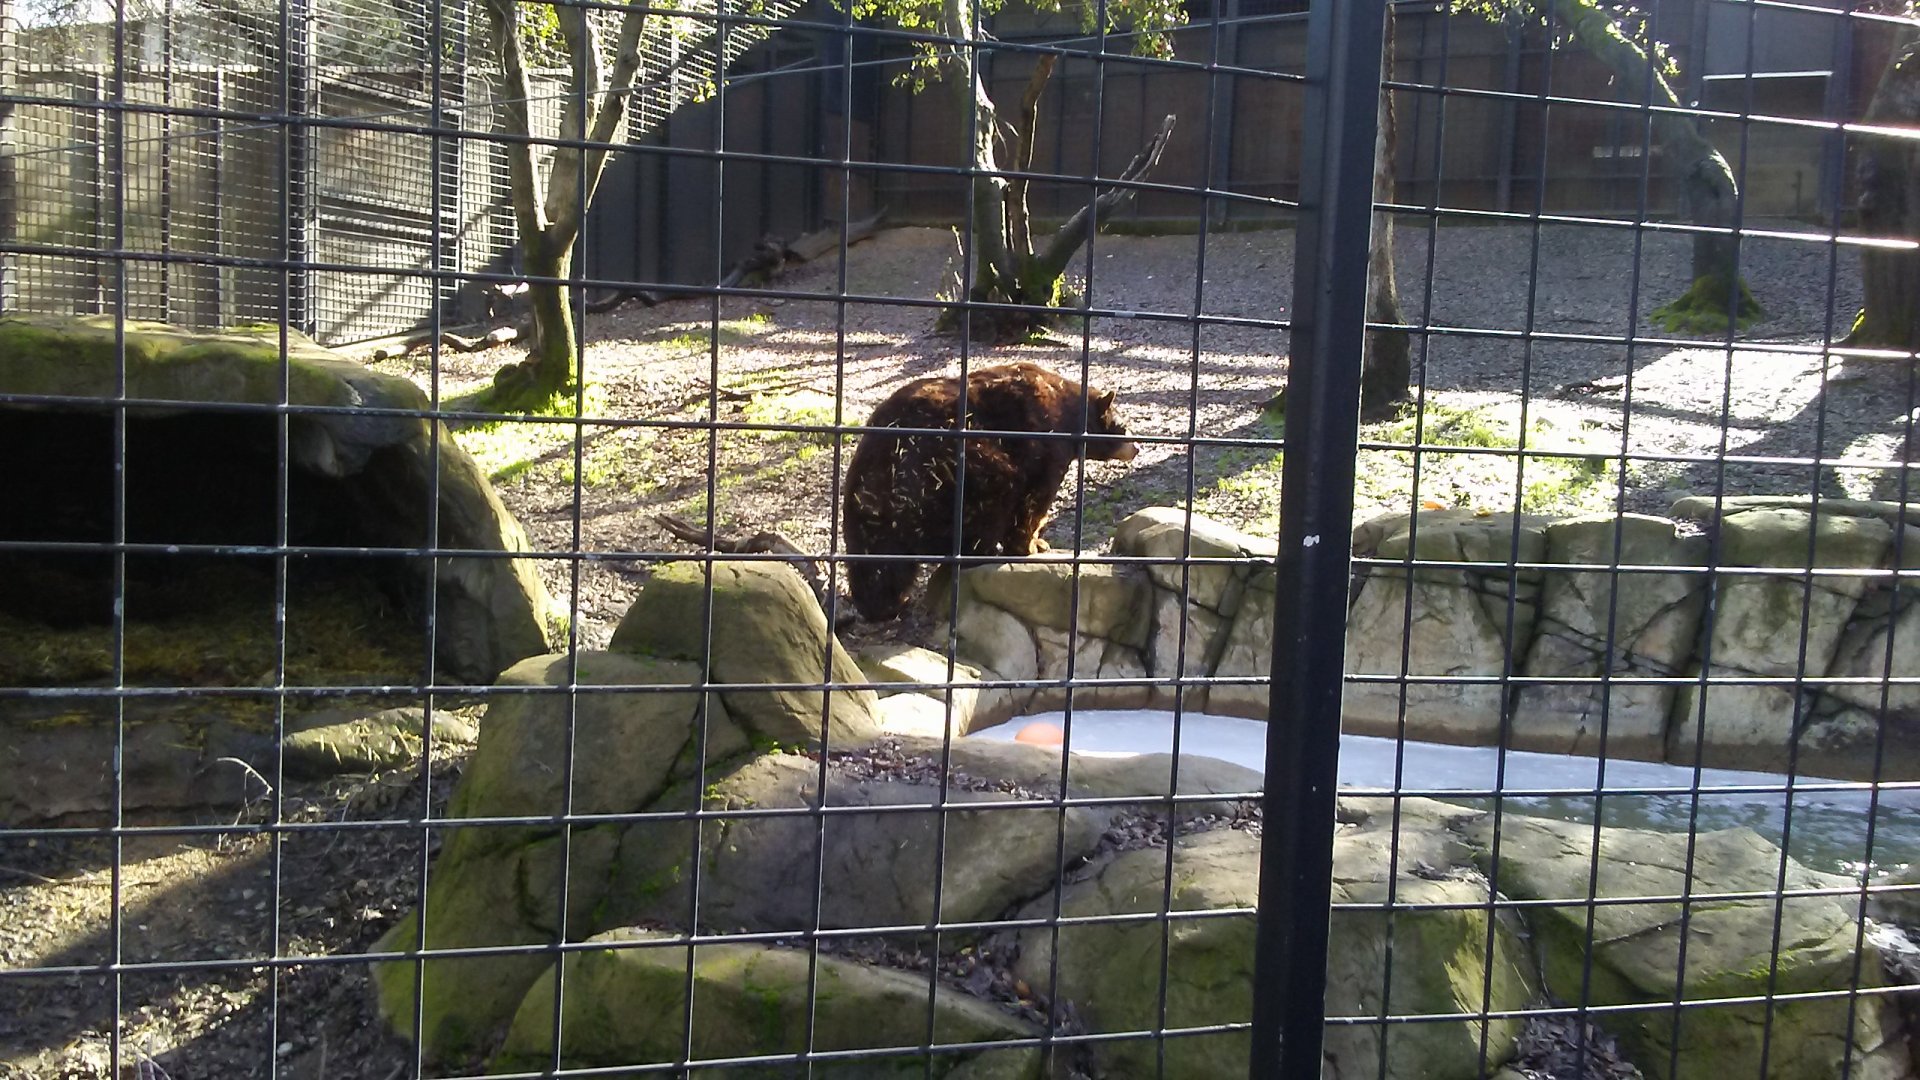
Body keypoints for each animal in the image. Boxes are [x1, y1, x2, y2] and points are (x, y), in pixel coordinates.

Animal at [842, 361, 1139, 621]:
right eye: (1122, 426)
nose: (1136, 447)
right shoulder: (1046, 442)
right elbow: (1035, 498)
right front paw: (1032, 546)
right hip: (965, 470)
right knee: (992, 504)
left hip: (867, 512)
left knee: (877, 566)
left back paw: (882, 604)